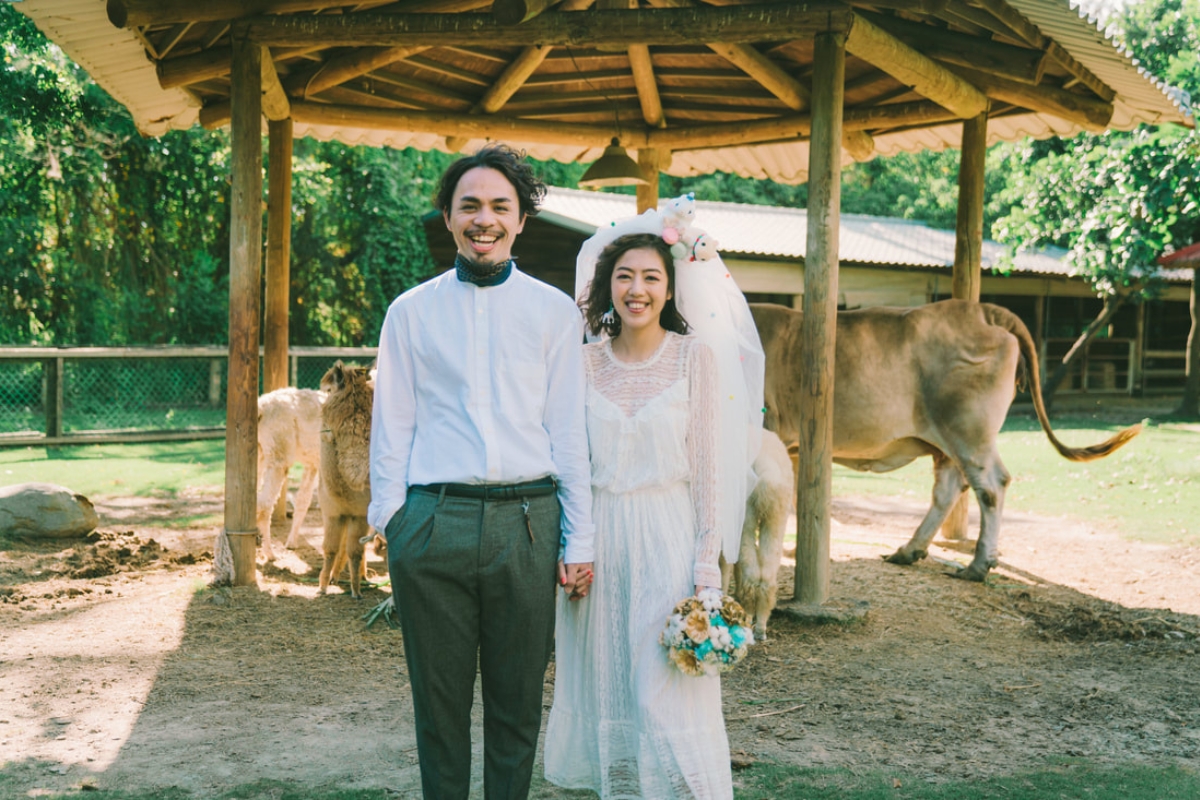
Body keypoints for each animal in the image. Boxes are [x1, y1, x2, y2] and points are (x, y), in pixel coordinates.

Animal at [748, 299, 1142, 582]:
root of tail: (979, 310)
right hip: (948, 440)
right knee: (950, 488)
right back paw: (910, 551)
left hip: (968, 430)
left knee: (991, 485)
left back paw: (978, 565)